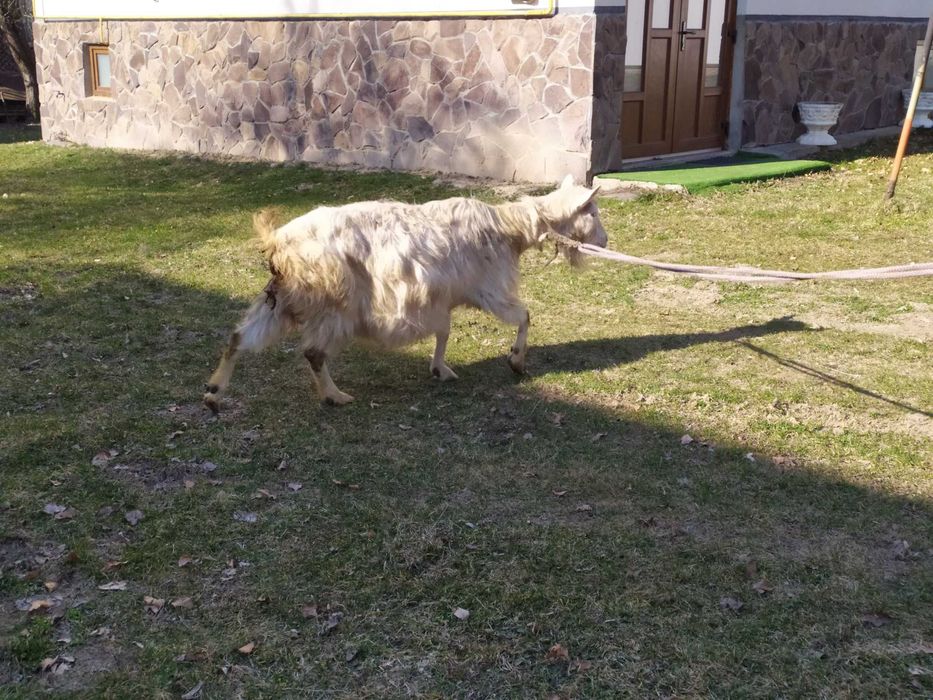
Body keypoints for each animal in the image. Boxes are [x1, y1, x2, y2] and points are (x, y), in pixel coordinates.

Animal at [203, 175, 607, 413]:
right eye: (591, 210)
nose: (604, 242)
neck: (510, 229)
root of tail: (277, 240)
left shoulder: (440, 299)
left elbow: (444, 332)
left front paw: (440, 369)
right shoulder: (489, 289)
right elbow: (524, 315)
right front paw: (517, 361)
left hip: (283, 298)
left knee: (238, 337)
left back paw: (213, 391)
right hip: (334, 304)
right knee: (313, 352)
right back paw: (334, 395)